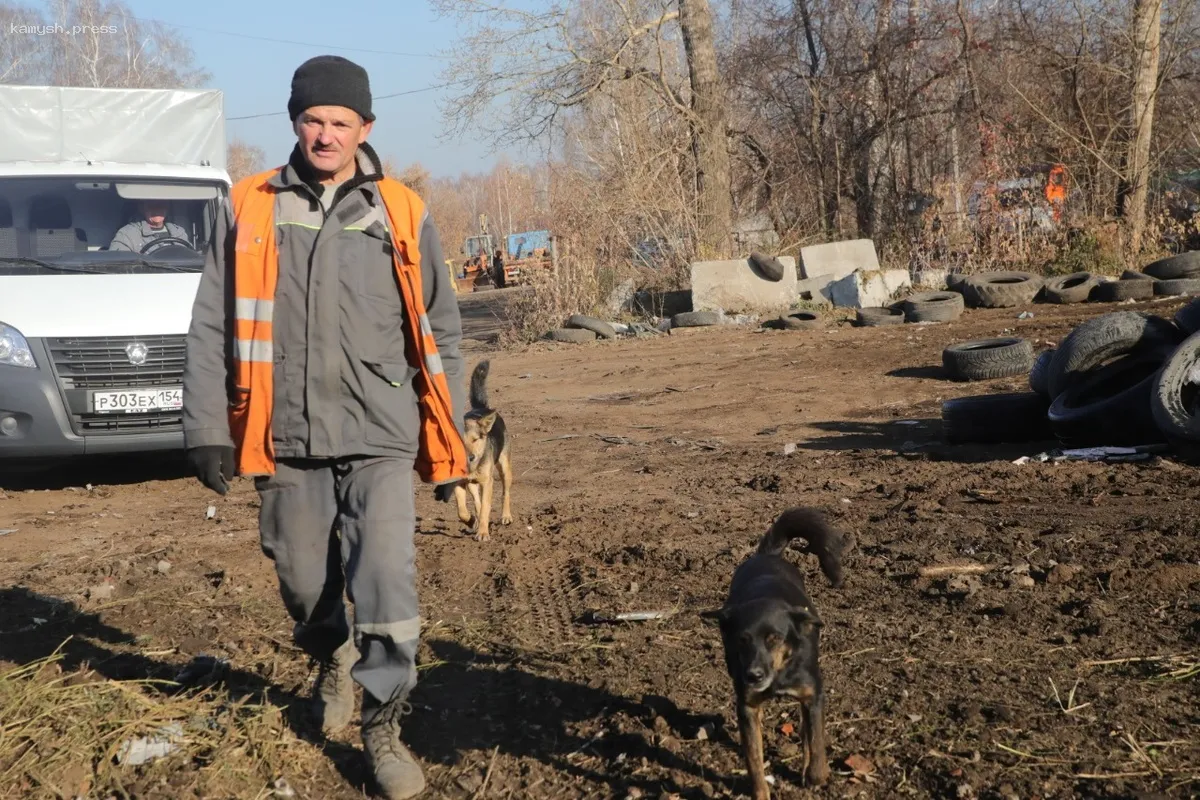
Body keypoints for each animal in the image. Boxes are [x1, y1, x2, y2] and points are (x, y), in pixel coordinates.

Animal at [448, 362, 508, 544]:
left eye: (475, 440)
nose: (471, 457)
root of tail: (482, 408)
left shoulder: (488, 482)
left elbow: (486, 508)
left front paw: (482, 532)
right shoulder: (459, 483)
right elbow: (462, 510)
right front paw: (471, 521)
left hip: (504, 467)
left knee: (505, 492)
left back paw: (506, 516)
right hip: (473, 484)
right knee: (476, 500)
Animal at [705, 510, 849, 796]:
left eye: (774, 638)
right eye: (742, 640)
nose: (754, 676)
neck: (780, 671)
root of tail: (768, 555)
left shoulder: (813, 695)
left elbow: (815, 741)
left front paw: (815, 775)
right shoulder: (747, 708)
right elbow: (754, 760)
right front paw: (760, 792)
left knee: (806, 733)